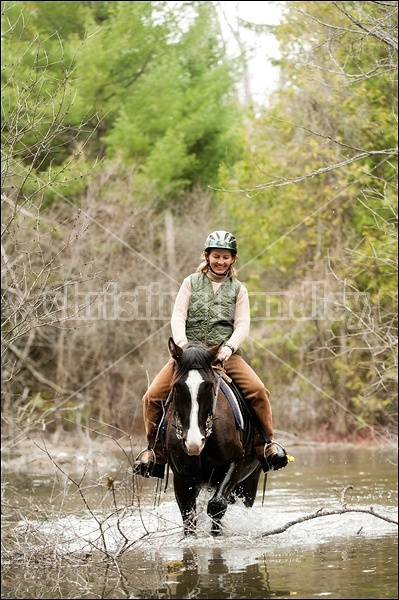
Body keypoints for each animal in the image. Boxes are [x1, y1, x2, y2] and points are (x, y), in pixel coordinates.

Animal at [163, 338, 262, 536]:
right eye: (177, 386)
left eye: (209, 386)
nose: (193, 443)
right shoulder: (181, 477)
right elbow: (188, 517)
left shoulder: (235, 464)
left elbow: (217, 506)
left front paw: (217, 536)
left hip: (250, 480)